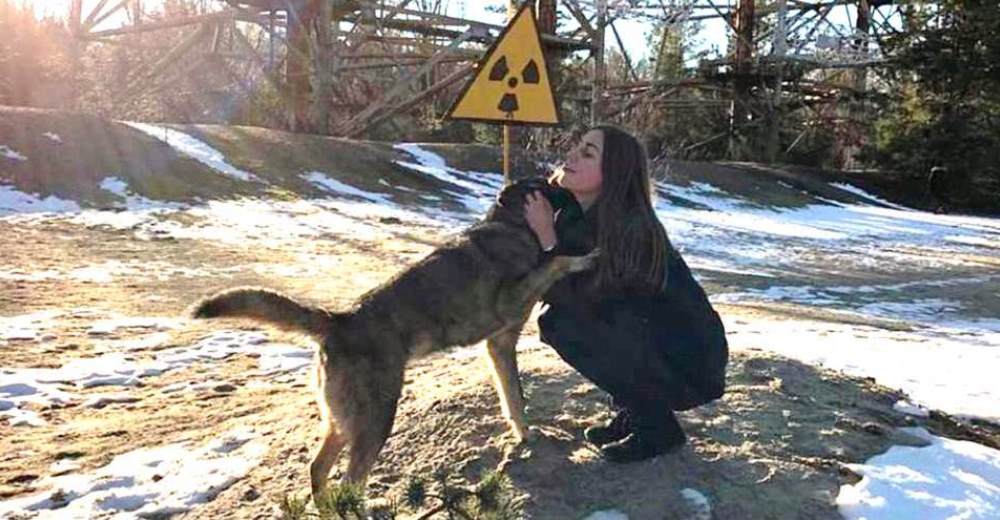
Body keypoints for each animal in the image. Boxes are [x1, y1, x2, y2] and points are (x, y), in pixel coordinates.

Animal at [193, 179, 592, 500]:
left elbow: (515, 399)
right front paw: (584, 257)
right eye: (548, 183)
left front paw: (524, 435)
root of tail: (337, 321)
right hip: (376, 418)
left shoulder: (500, 345)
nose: (572, 192)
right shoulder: (510, 303)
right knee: (349, 483)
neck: (508, 224)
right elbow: (556, 261)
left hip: (343, 420)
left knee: (319, 470)